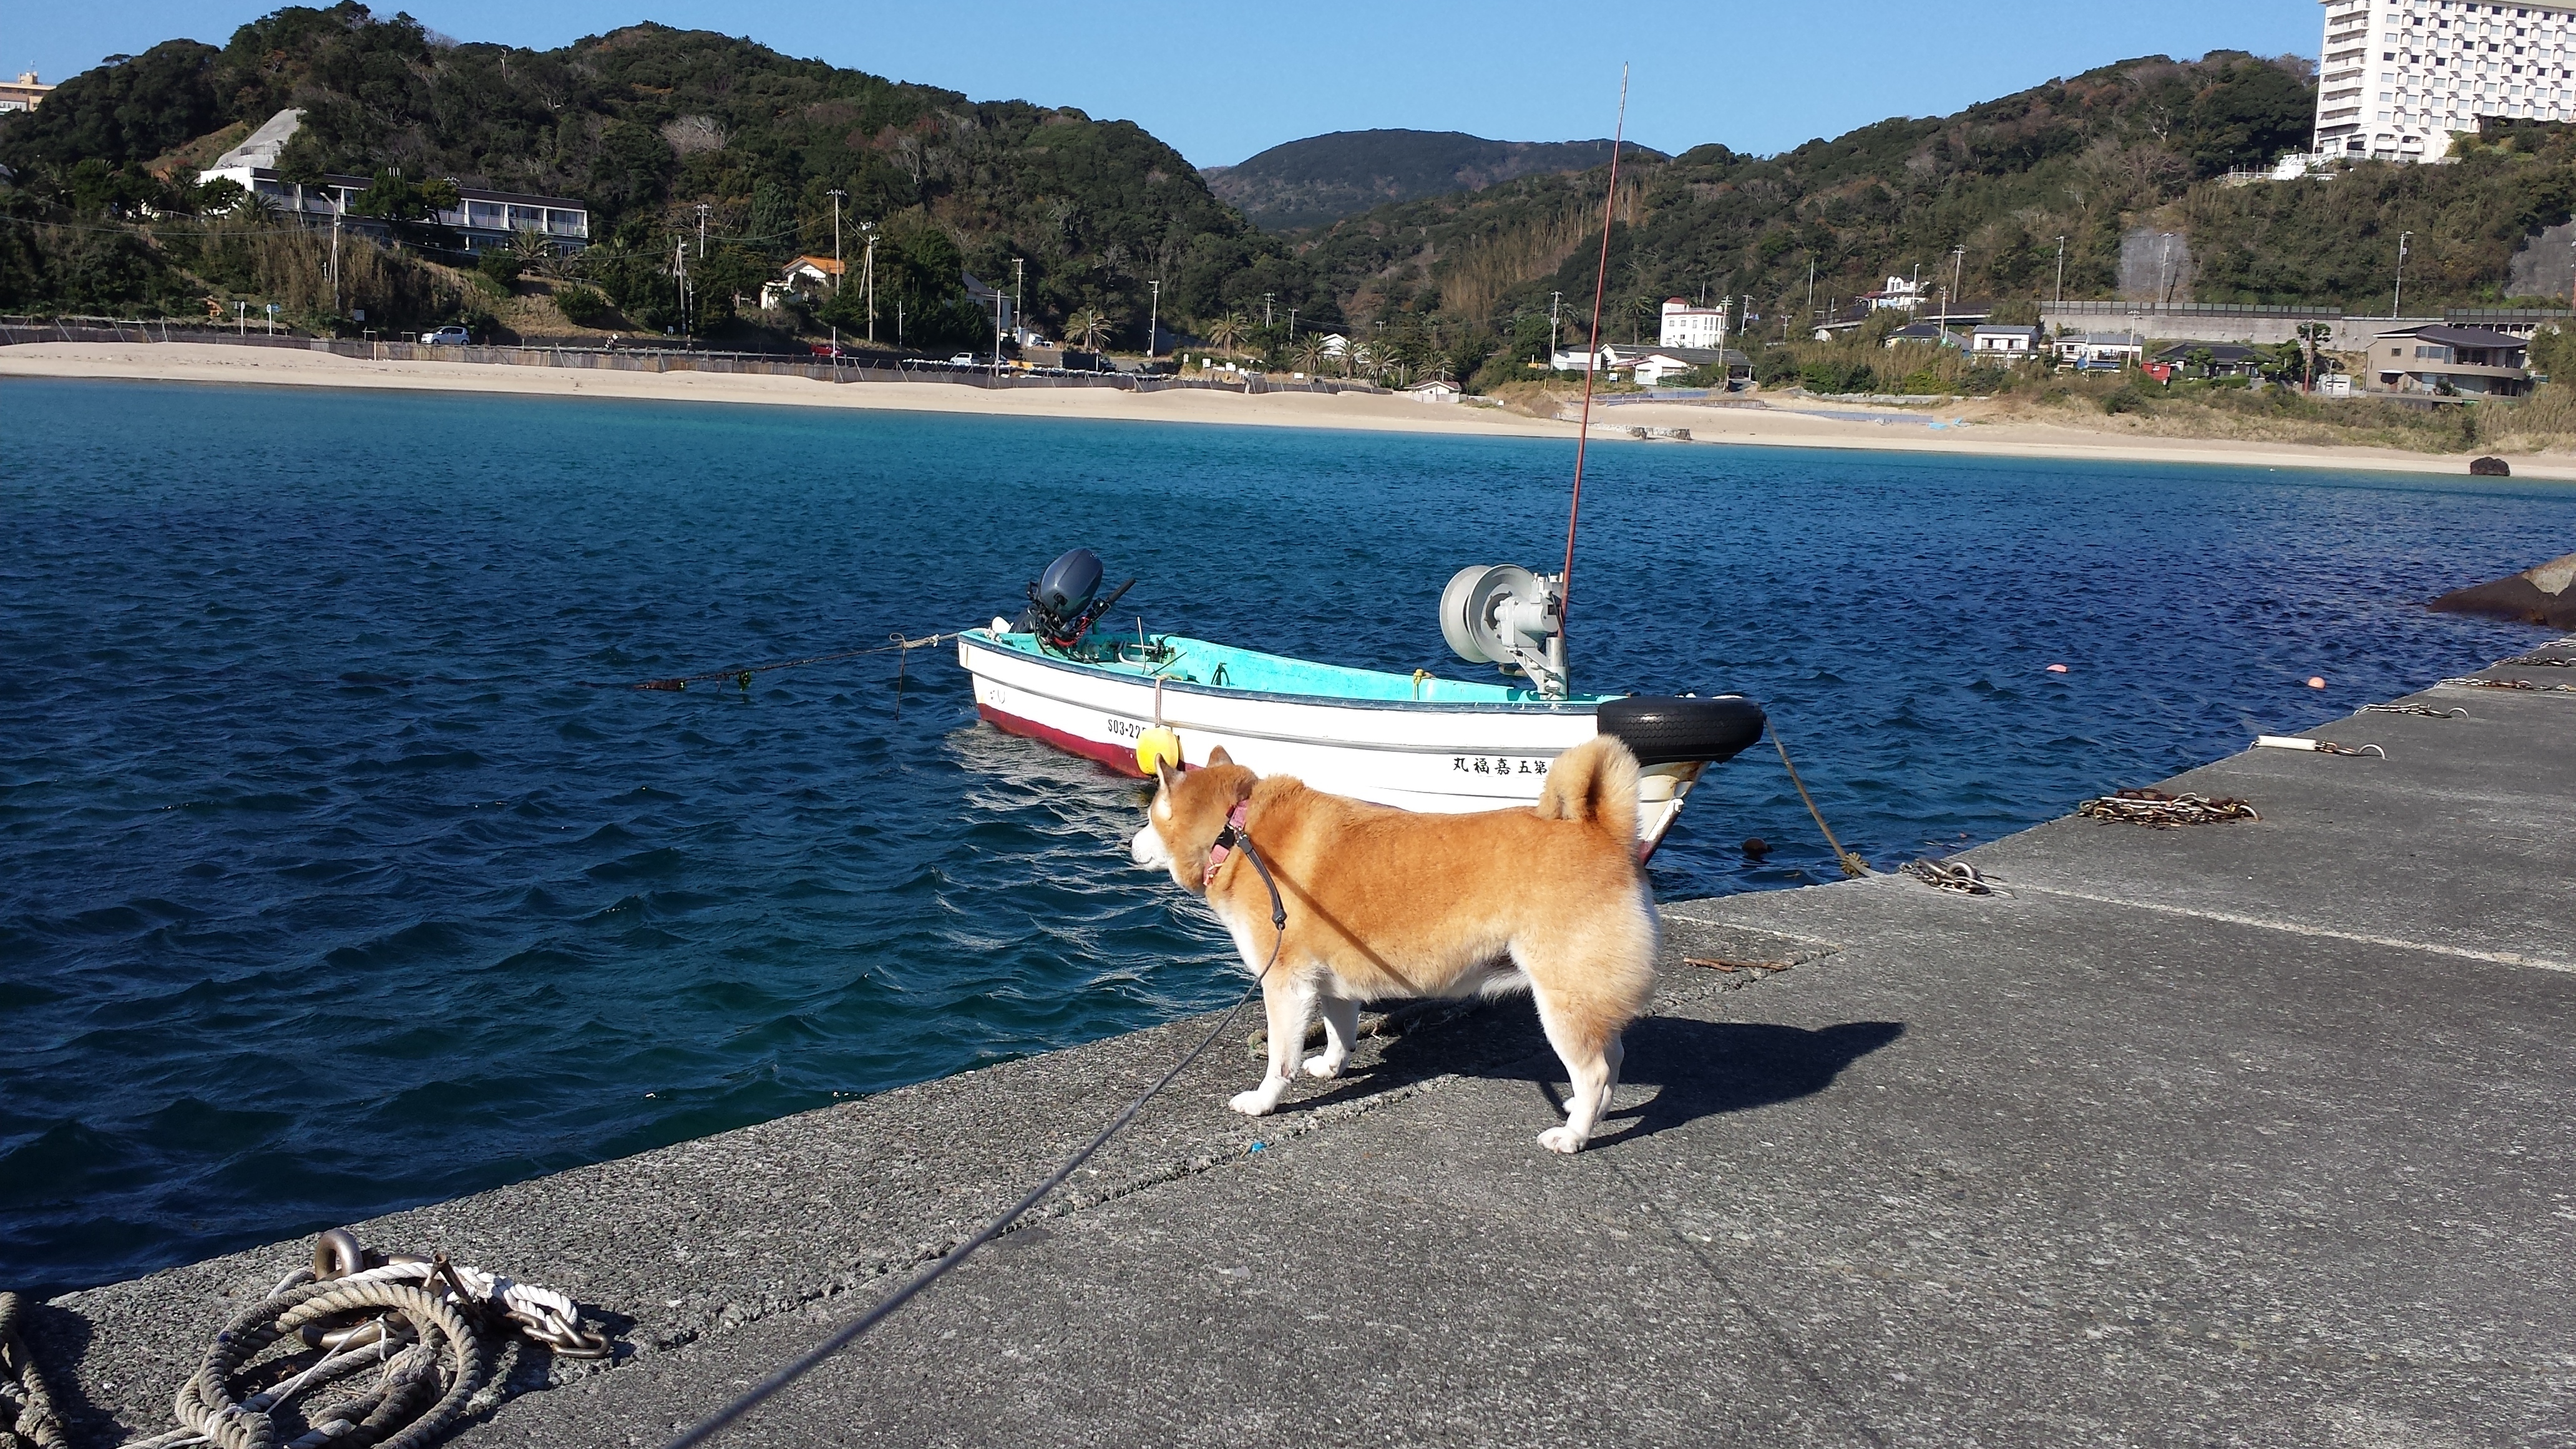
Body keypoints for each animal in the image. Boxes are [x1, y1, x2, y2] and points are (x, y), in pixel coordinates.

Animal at [1133, 732, 1659, 1149]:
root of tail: (1606, 833)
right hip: (1586, 995)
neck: (1237, 833)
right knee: (1613, 1057)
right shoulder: (1330, 982)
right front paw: (1331, 1067)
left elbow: (1281, 1059)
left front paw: (1264, 1101)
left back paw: (1574, 1135)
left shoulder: (1285, 984)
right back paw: (1590, 1112)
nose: (1132, 845)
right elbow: (1340, 1032)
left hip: (1562, 1000)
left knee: (1594, 1070)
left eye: (1149, 818)